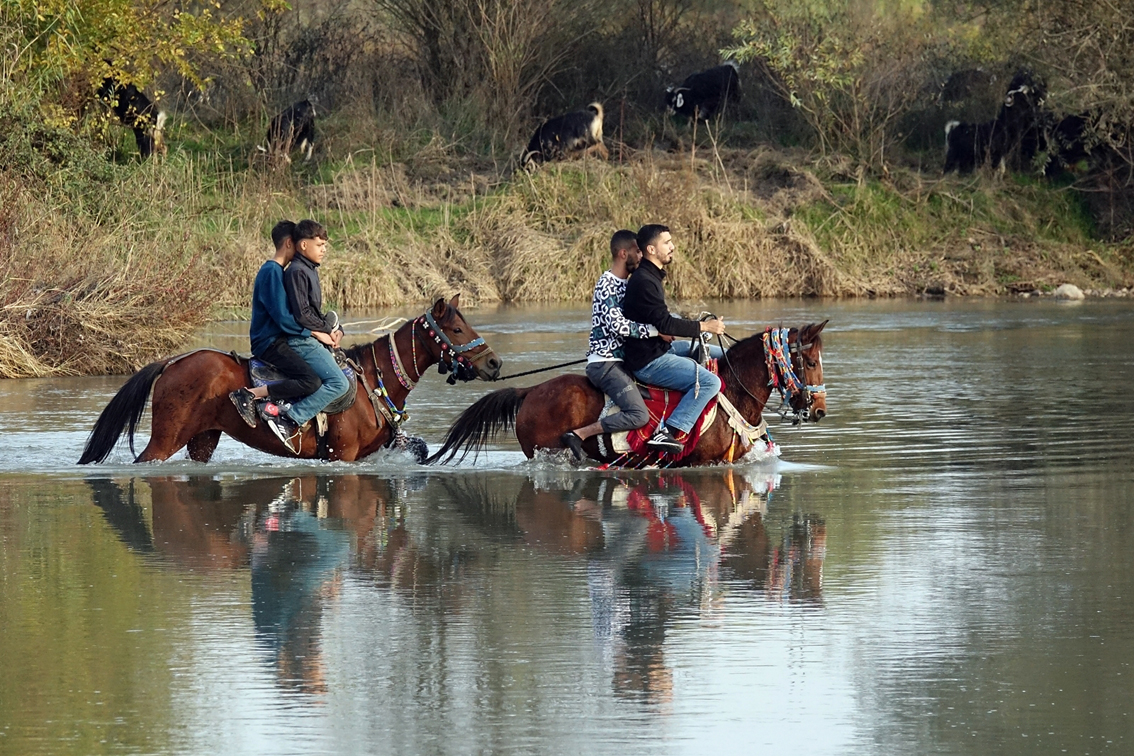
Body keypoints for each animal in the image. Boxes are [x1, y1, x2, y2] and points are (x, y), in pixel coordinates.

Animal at [79, 294, 501, 462]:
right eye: (458, 329)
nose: (494, 363)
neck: (373, 380)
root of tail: (173, 362)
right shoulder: (341, 456)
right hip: (166, 439)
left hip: (203, 439)